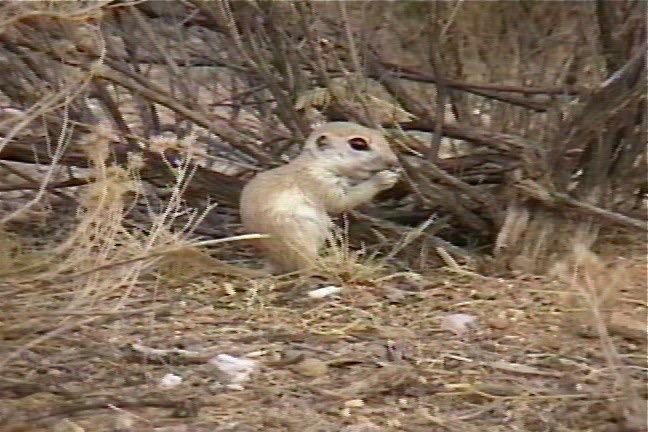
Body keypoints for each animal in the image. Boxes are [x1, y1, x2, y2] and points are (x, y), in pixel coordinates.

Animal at [239, 122, 400, 274]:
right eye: (358, 144)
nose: (394, 161)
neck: (318, 163)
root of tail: (273, 262)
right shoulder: (319, 182)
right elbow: (341, 202)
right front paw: (383, 178)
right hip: (301, 240)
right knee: (306, 268)